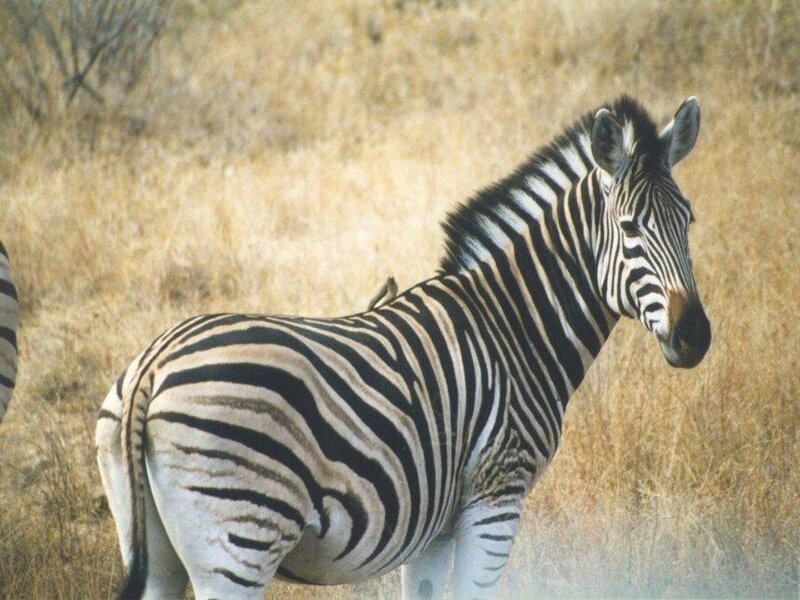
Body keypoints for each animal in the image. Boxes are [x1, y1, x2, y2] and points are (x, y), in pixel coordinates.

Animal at [96, 95, 711, 600]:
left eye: (689, 219)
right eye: (629, 229)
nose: (695, 337)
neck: (512, 327)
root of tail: (154, 364)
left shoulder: (434, 527)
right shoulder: (496, 498)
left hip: (155, 543)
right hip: (239, 541)